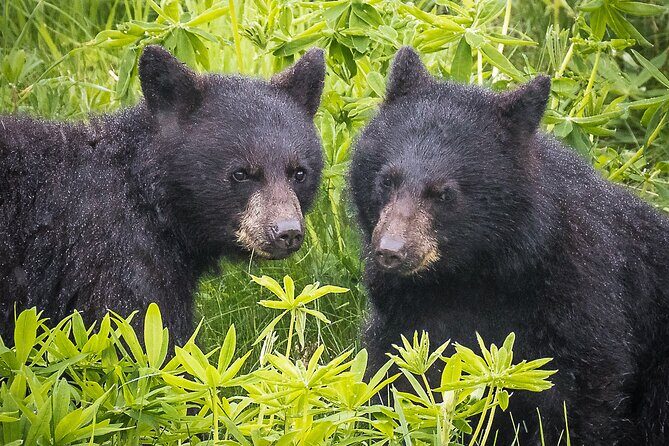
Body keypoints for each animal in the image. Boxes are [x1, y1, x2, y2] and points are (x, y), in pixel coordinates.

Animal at [350, 47, 669, 445]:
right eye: (387, 181)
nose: (390, 251)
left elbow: (585, 393)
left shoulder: (581, 294)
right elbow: (394, 369)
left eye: (443, 193)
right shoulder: (405, 309)